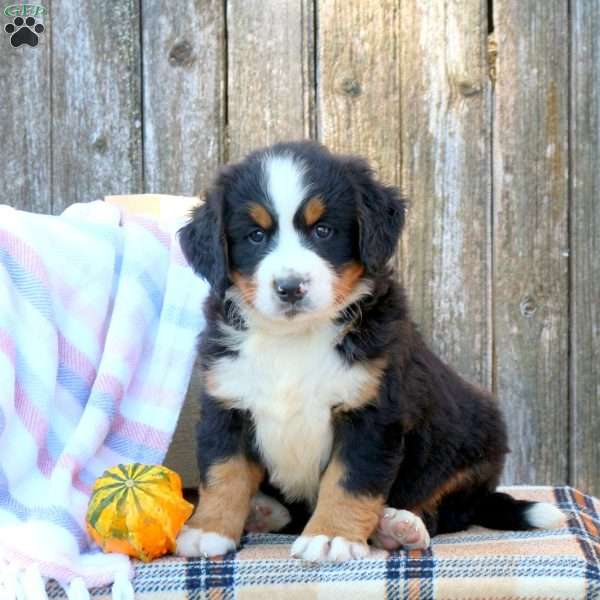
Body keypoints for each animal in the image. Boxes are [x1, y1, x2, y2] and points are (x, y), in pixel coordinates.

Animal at [175, 141, 564, 564]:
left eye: (323, 230)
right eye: (256, 236)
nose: (291, 287)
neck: (294, 338)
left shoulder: (373, 413)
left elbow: (350, 480)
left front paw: (332, 536)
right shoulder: (227, 403)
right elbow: (223, 473)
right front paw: (208, 530)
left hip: (477, 435)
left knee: (445, 511)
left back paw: (398, 527)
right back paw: (262, 510)